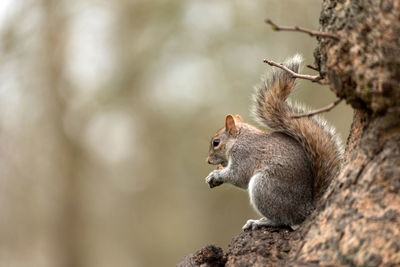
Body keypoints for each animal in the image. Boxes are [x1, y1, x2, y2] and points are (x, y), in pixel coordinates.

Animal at [205, 54, 342, 230]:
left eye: (216, 142)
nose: (208, 160)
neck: (239, 139)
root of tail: (305, 209)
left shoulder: (245, 154)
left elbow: (238, 176)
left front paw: (216, 175)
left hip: (264, 186)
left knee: (282, 220)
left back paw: (260, 222)